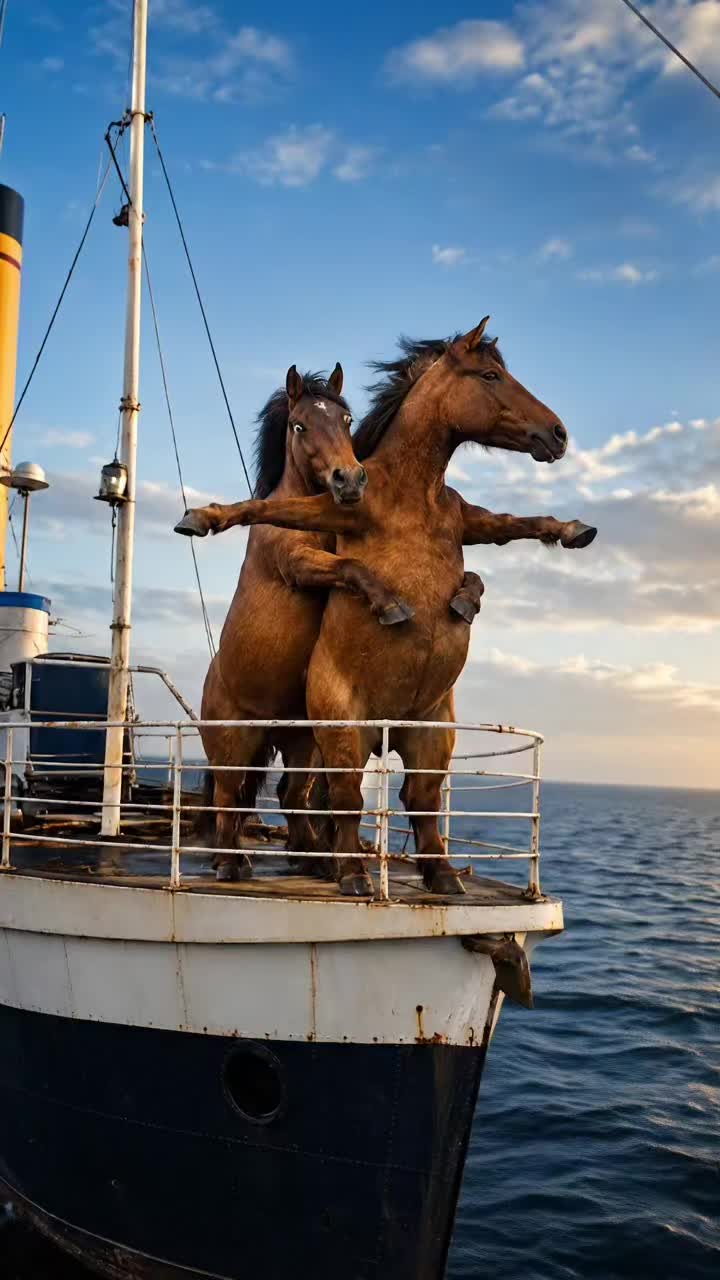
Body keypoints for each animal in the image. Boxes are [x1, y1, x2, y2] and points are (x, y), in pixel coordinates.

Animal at [177, 319, 597, 896]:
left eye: (348, 420)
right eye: (490, 375)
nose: (557, 434)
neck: (412, 497)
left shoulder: (466, 521)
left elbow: (510, 529)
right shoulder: (324, 522)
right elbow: (272, 514)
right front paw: (204, 516)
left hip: (391, 731)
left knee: (339, 796)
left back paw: (326, 861)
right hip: (279, 733)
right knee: (242, 794)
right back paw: (248, 863)